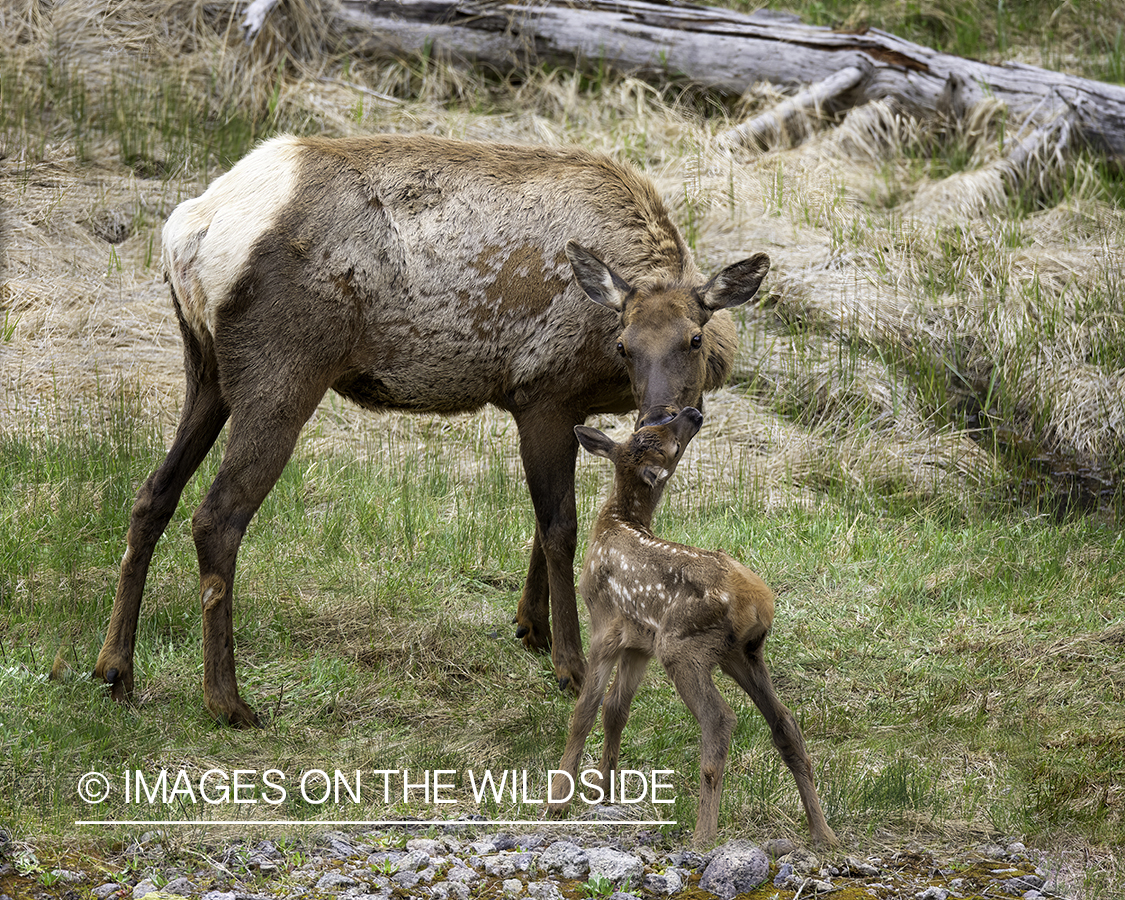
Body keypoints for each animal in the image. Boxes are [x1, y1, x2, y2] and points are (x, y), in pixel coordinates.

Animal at [94, 133, 774, 724]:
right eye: (624, 344)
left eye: (692, 338)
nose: (662, 419)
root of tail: (188, 231)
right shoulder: (541, 393)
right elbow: (560, 527)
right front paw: (569, 663)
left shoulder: (567, 408)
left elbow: (542, 522)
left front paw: (529, 625)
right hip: (282, 369)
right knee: (216, 517)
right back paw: (228, 701)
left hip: (206, 369)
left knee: (152, 494)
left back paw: (115, 669)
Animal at [549, 411, 841, 846]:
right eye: (647, 431)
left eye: (667, 441)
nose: (693, 412)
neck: (613, 526)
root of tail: (756, 600)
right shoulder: (639, 643)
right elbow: (616, 709)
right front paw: (603, 790)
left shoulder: (605, 626)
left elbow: (585, 711)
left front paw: (559, 799)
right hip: (743, 653)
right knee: (785, 722)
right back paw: (823, 833)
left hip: (684, 647)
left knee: (719, 719)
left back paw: (704, 835)